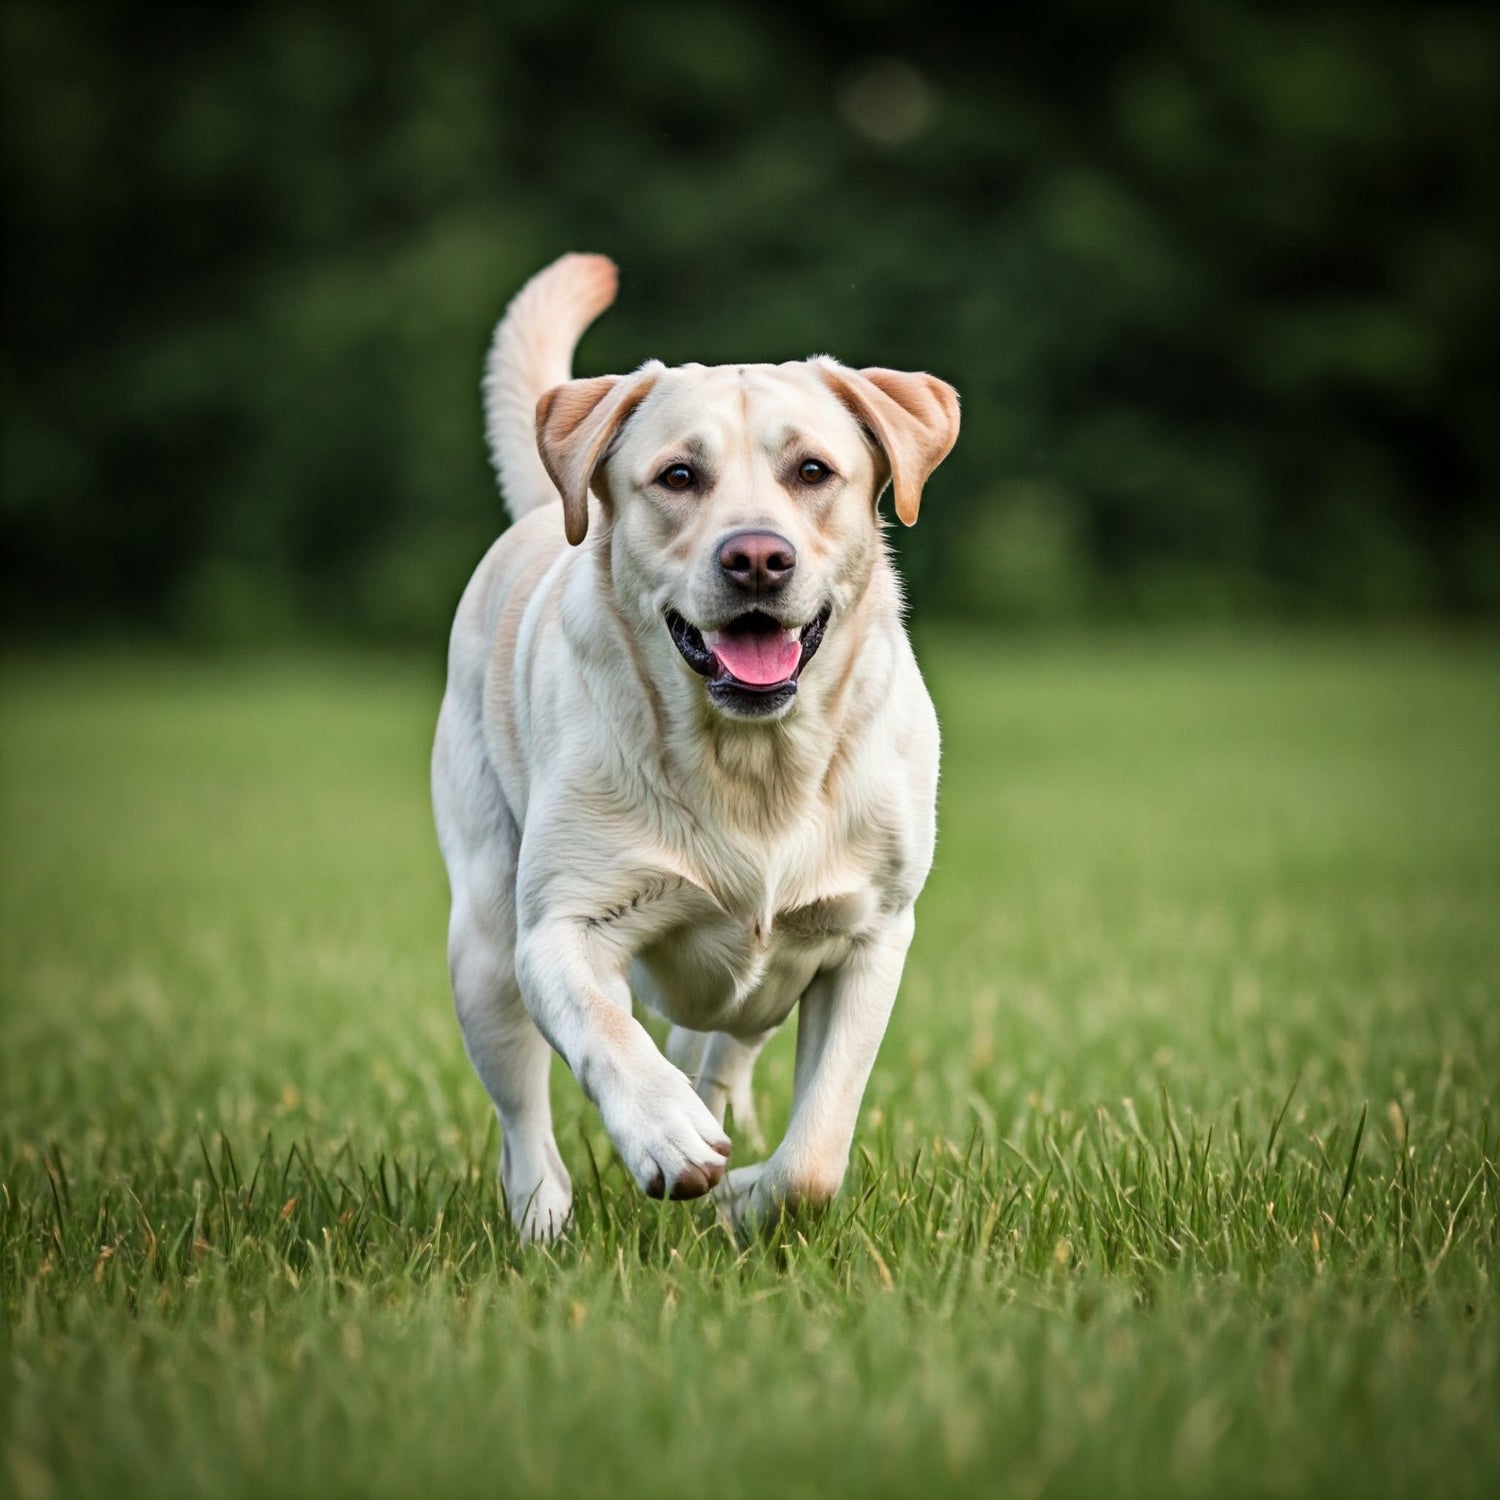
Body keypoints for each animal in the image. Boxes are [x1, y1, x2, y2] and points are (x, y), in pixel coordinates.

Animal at [429, 255, 960, 1242]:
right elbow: (606, 1031)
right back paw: (543, 1217)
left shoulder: (871, 936)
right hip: (482, 937)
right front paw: (667, 1134)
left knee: (720, 1048)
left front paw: (748, 1196)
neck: (753, 762)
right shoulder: (558, 928)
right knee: (524, 1111)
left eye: (813, 470)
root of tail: (549, 510)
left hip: (759, 990)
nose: (756, 557)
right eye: (678, 475)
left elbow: (817, 1152)